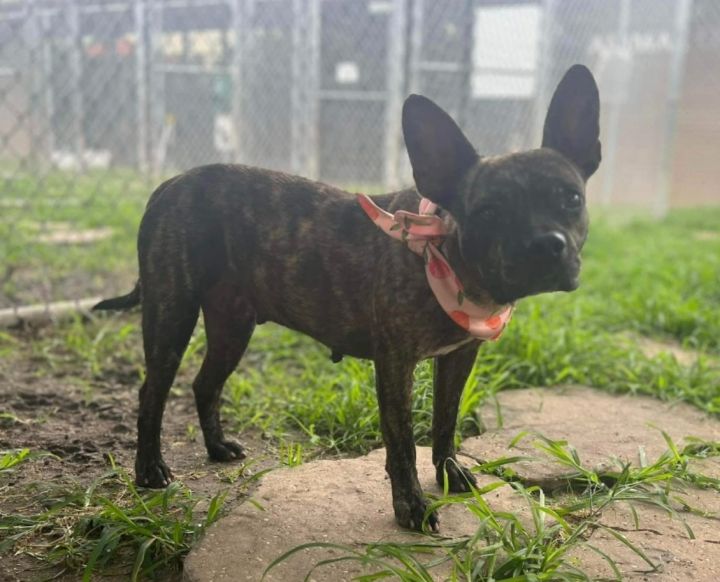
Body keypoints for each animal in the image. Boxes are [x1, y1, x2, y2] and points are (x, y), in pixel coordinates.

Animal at [95, 65, 600, 532]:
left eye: (571, 199)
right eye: (489, 212)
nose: (544, 245)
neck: (445, 252)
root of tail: (170, 184)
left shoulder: (459, 358)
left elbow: (445, 420)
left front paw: (449, 473)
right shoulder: (395, 366)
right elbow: (402, 444)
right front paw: (411, 505)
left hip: (231, 327)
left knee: (205, 384)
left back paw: (217, 448)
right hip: (171, 315)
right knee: (152, 392)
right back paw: (149, 469)